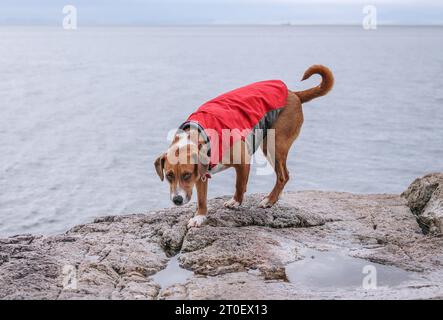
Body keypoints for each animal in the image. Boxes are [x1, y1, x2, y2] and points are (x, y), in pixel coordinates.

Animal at [154, 65, 334, 229]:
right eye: (169, 175)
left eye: (186, 175)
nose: (177, 200)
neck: (201, 134)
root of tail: (294, 94)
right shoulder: (201, 174)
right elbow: (202, 198)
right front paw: (200, 216)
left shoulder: (242, 162)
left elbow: (239, 185)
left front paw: (236, 202)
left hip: (274, 145)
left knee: (283, 175)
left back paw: (270, 200)